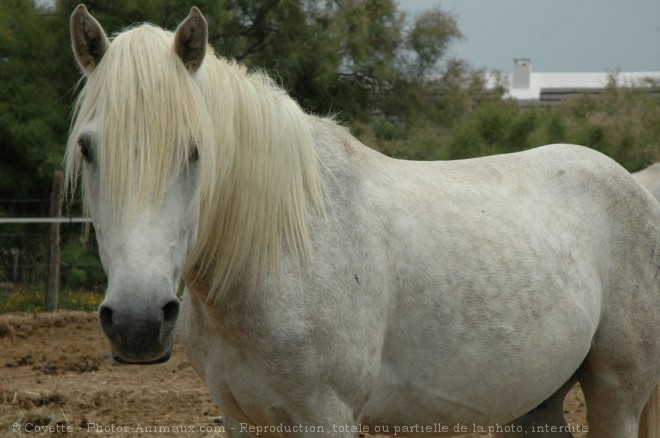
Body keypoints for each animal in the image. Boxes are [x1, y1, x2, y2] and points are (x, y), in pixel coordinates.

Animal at [67, 5, 660, 436]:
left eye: (194, 151)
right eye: (88, 148)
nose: (137, 322)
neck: (277, 251)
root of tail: (635, 188)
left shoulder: (327, 416)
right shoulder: (240, 418)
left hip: (617, 393)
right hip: (537, 402)